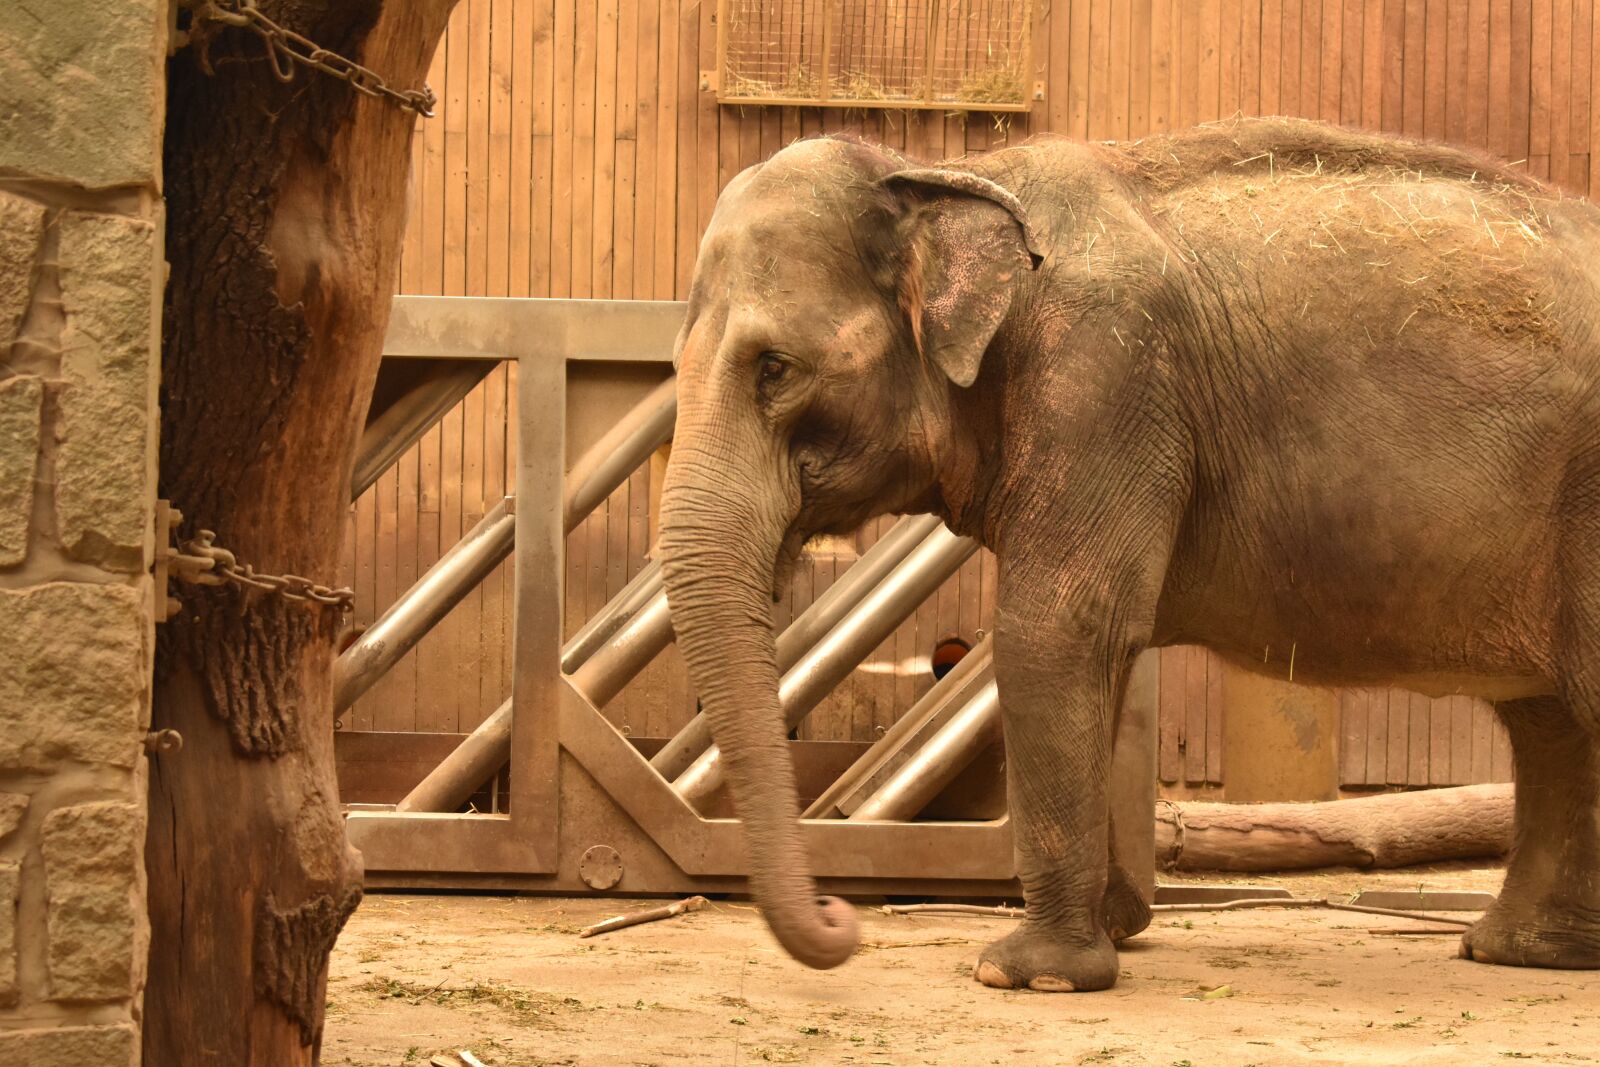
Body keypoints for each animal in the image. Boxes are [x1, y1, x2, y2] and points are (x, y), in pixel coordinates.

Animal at [655, 115, 1600, 993]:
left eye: (775, 368)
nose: (841, 918)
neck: (948, 174)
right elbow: (1094, 647)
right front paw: (1113, 926)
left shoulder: (1102, 373)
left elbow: (1058, 629)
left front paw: (1024, 973)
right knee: (1550, 718)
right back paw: (1516, 950)